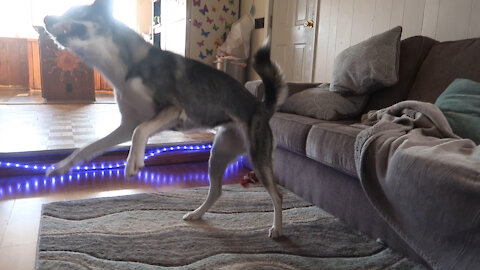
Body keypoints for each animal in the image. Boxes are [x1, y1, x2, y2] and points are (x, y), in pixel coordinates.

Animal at [44, 0, 284, 237]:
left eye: (76, 11)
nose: (46, 18)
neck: (120, 64)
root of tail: (262, 106)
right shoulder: (127, 125)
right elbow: (86, 149)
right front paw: (61, 167)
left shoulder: (172, 110)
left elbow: (139, 132)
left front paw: (133, 163)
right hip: (218, 155)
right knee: (216, 191)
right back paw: (196, 214)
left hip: (258, 159)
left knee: (278, 195)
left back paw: (277, 229)